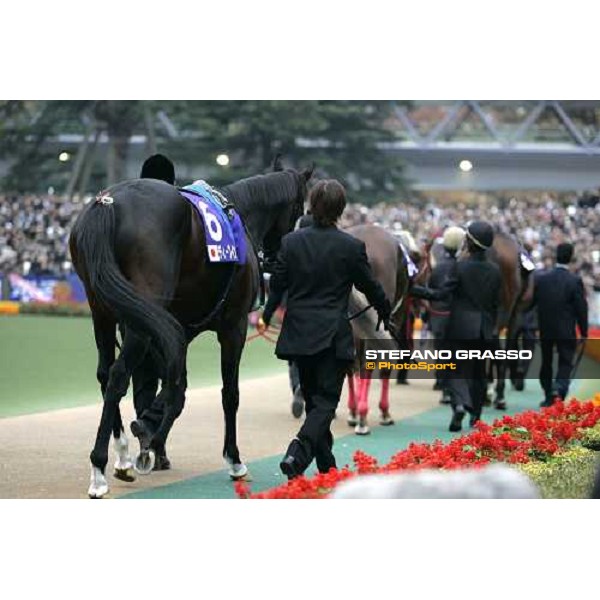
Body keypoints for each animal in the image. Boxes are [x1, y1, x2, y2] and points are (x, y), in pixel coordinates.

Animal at [71, 164, 310, 496]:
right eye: (300, 208)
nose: (277, 256)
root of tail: (109, 203)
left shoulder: (178, 330)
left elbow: (177, 388)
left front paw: (150, 436)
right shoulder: (233, 327)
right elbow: (229, 394)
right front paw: (233, 460)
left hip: (104, 311)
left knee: (106, 374)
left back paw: (122, 456)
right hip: (139, 317)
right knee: (118, 375)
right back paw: (99, 469)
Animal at [342, 223, 412, 434]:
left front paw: (354, 410)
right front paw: (384, 412)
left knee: (351, 364)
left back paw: (355, 411)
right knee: (366, 364)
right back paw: (363, 417)